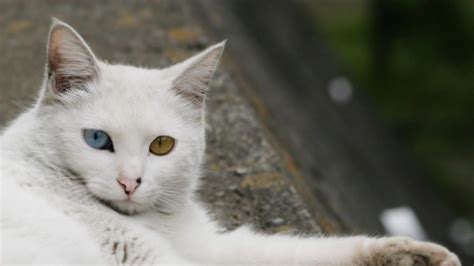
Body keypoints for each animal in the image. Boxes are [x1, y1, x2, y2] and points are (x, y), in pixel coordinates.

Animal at [0, 19, 460, 266]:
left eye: (162, 146)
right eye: (97, 139)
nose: (130, 182)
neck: (158, 223)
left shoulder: (213, 248)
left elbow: (297, 252)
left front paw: (413, 255)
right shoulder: (144, 255)